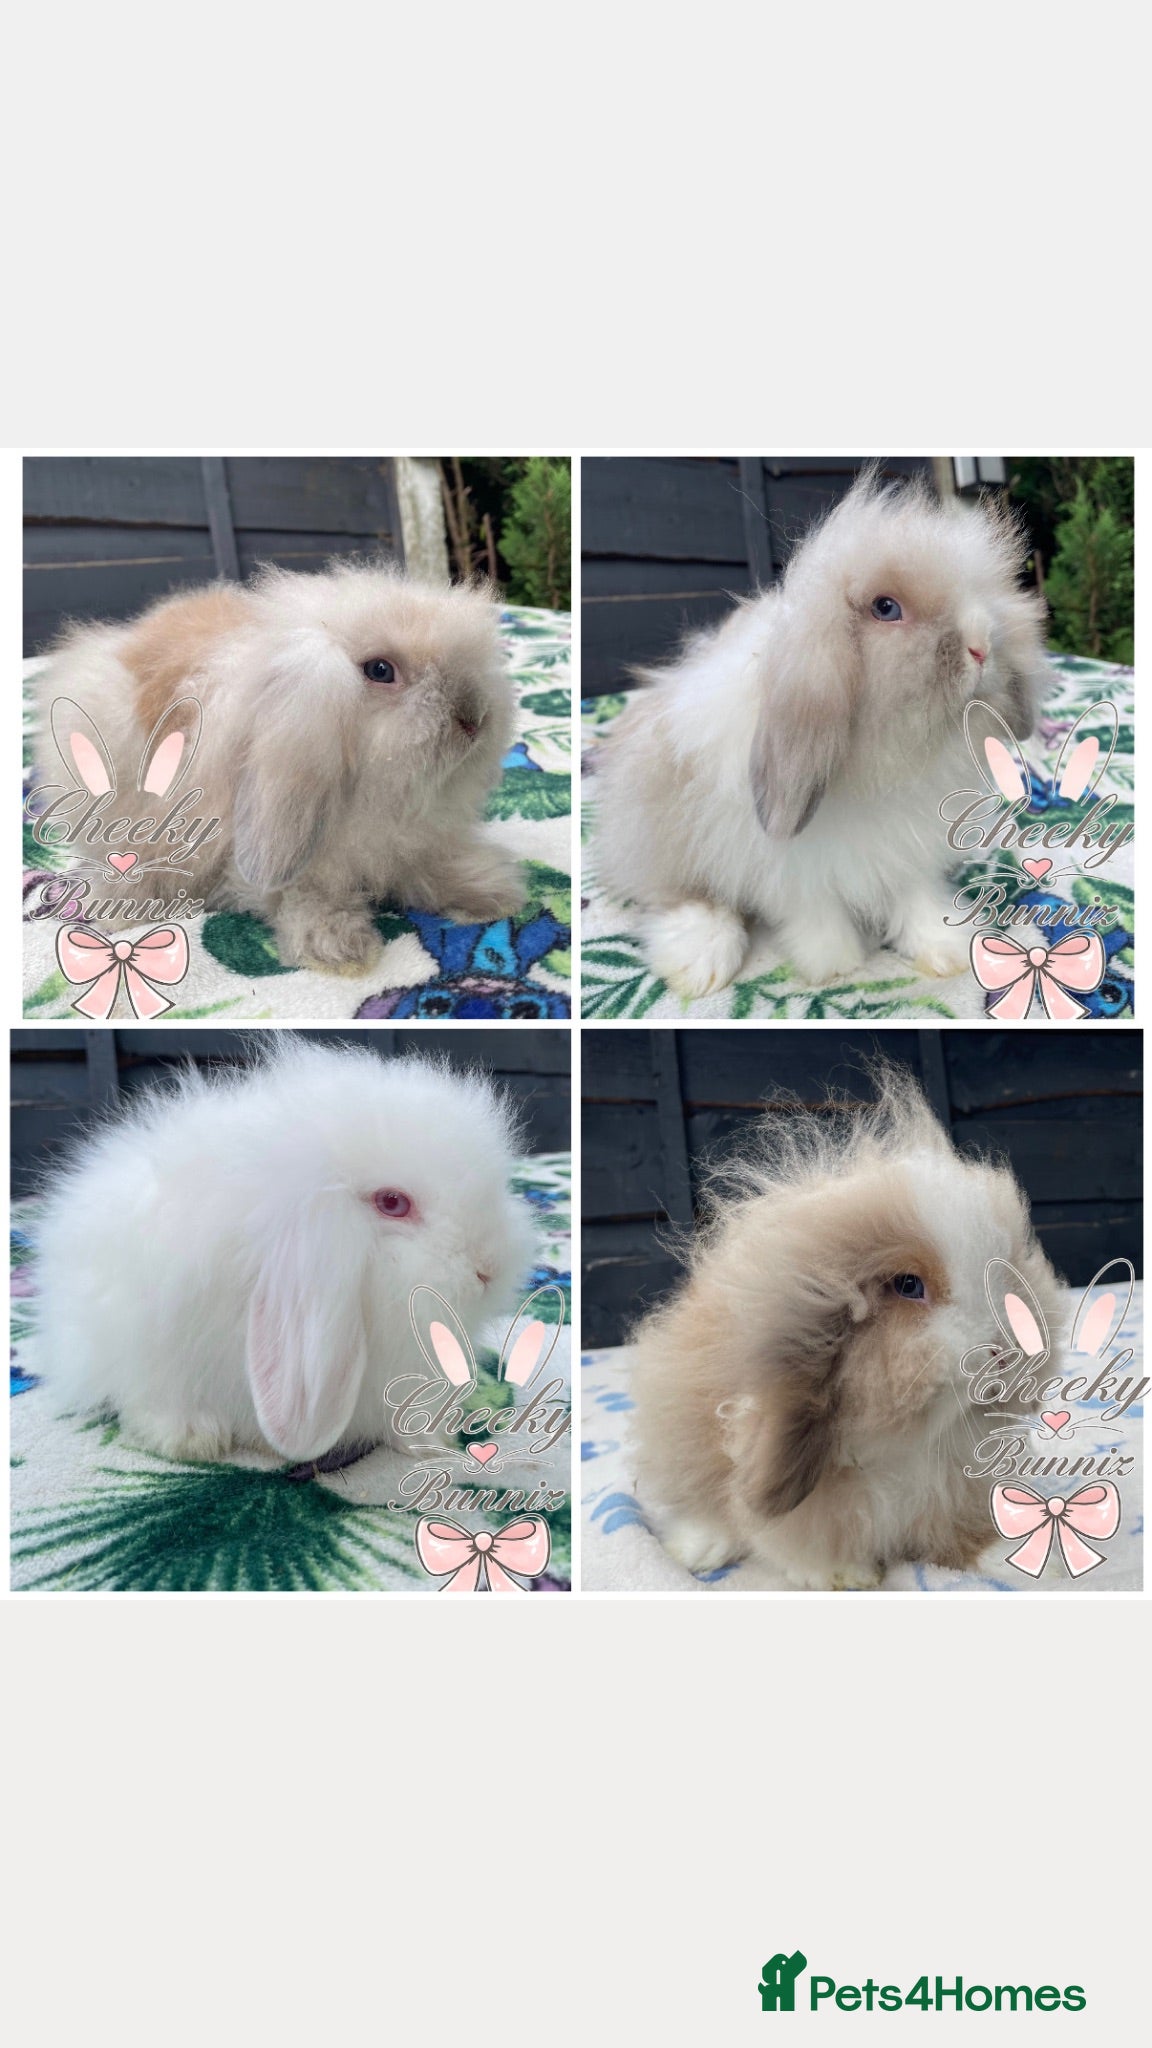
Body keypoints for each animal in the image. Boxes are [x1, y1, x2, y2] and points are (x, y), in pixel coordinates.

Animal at [33, 563, 523, 970]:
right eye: (381, 670)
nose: (475, 718)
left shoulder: (407, 842)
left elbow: (426, 869)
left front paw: (491, 890)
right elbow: (304, 896)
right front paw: (339, 945)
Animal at [592, 470, 1049, 996]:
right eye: (886, 608)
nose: (982, 646)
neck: (889, 760)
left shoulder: (906, 846)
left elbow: (916, 897)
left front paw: (945, 950)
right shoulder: (791, 866)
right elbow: (814, 912)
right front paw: (836, 964)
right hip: (667, 831)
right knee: (685, 897)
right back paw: (699, 963)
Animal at [628, 1067, 1066, 1589]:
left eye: (1009, 1271)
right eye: (908, 1285)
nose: (1004, 1350)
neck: (913, 1445)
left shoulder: (960, 1490)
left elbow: (972, 1535)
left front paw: (1031, 1558)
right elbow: (797, 1544)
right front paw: (848, 1578)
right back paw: (699, 1551)